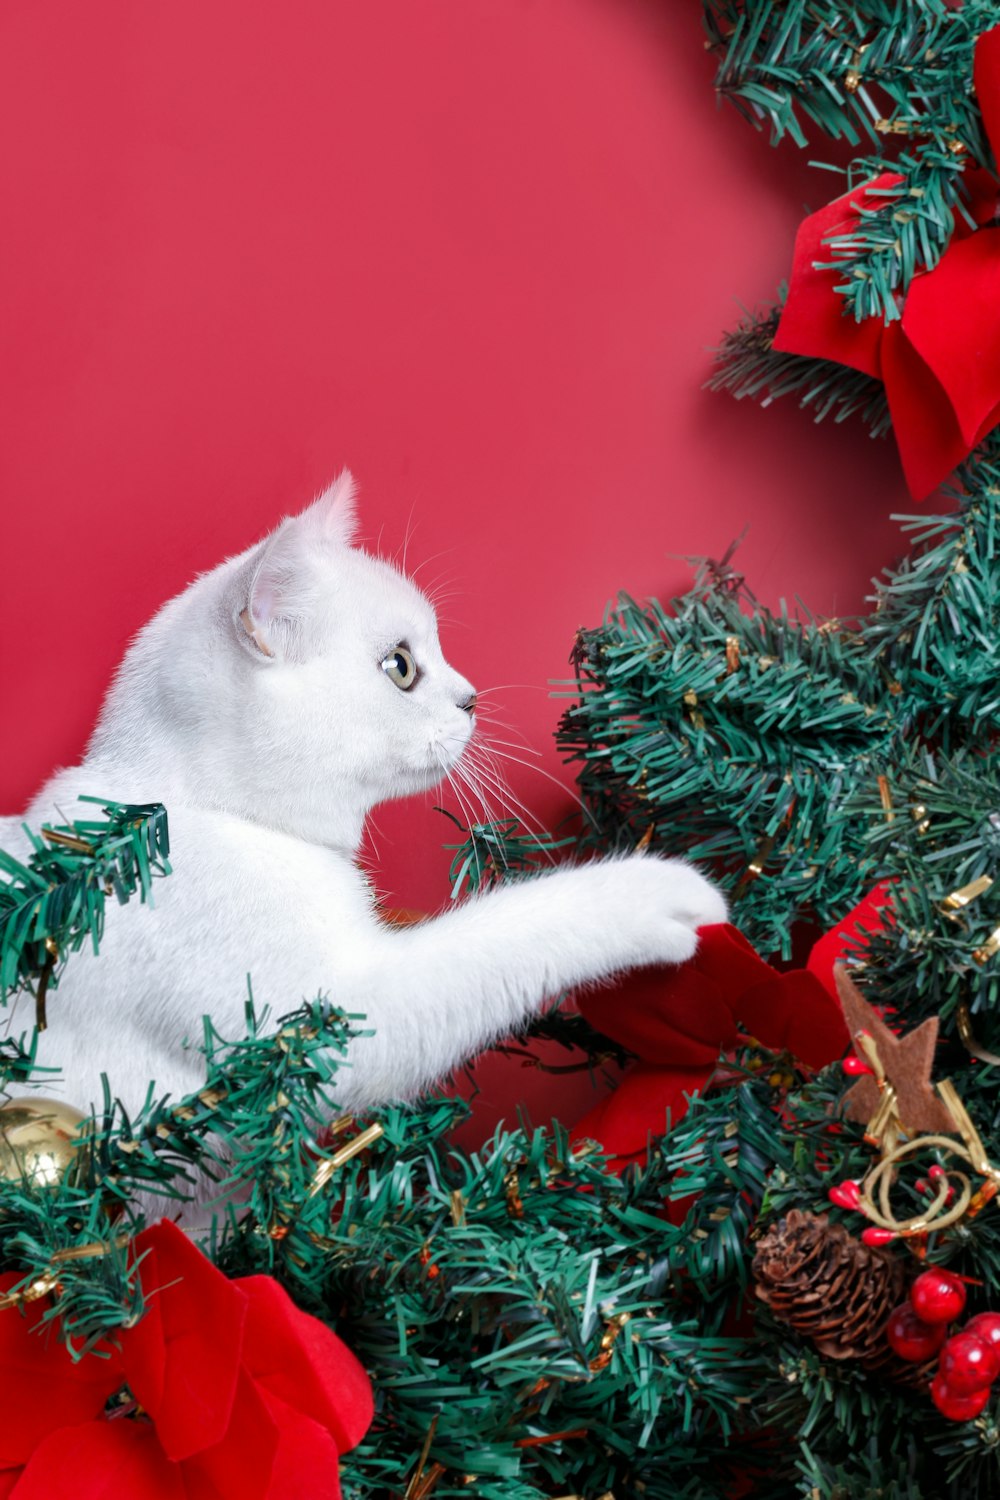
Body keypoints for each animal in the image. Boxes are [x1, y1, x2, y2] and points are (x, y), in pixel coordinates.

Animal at [7, 474, 728, 1122]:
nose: (471, 698)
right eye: (401, 667)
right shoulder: (326, 1022)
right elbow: (510, 931)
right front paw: (657, 891)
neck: (181, 813)